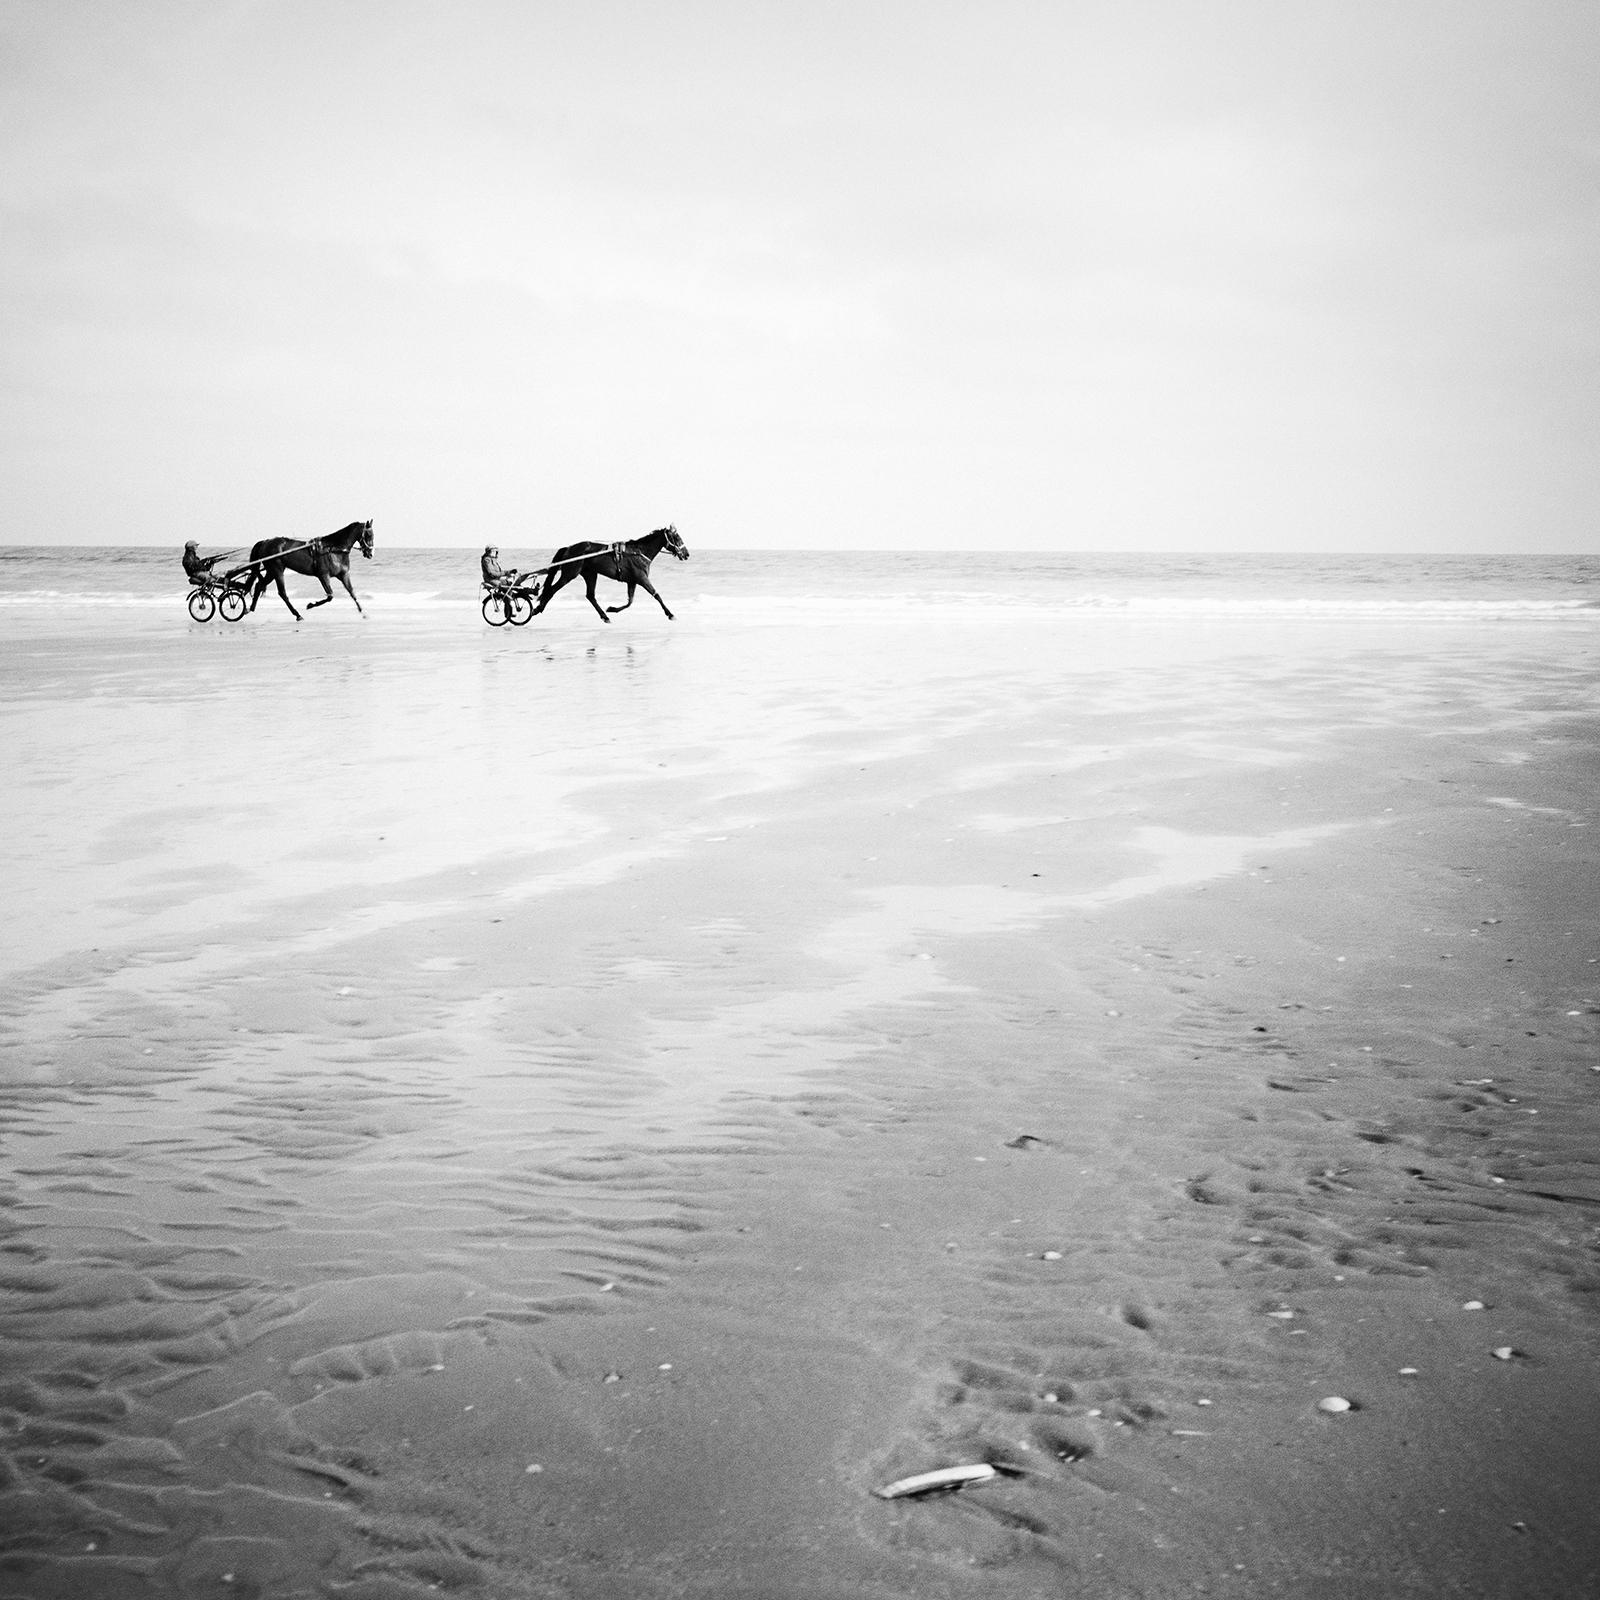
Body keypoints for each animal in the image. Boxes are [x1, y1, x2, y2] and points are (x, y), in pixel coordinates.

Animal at [238, 518, 376, 617]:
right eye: (369, 535)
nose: (370, 553)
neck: (333, 549)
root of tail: (266, 541)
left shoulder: (343, 575)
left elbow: (352, 592)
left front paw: (363, 612)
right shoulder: (323, 575)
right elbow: (330, 596)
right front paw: (311, 604)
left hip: (271, 571)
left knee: (259, 585)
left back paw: (250, 609)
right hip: (277, 570)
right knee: (282, 593)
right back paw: (297, 614)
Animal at [534, 524, 691, 624]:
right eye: (677, 537)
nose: (686, 554)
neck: (638, 552)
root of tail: (569, 548)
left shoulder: (632, 581)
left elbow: (630, 602)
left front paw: (612, 609)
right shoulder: (642, 578)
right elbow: (656, 595)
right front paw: (670, 614)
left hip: (590, 574)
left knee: (590, 596)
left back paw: (605, 616)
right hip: (570, 573)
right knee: (552, 590)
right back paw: (538, 609)